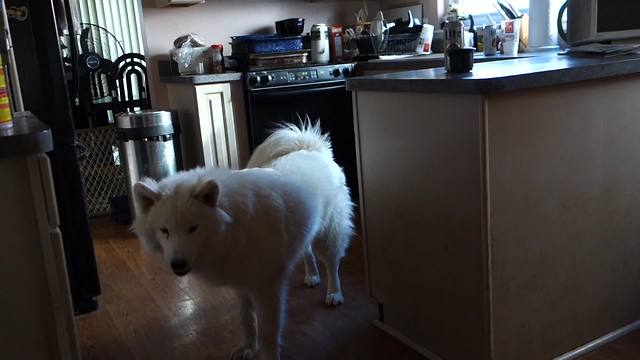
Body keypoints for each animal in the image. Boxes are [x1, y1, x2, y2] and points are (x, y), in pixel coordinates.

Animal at [132, 122, 352, 358]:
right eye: (164, 231)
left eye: (193, 228)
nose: (177, 264)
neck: (232, 226)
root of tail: (311, 148)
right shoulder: (241, 282)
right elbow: (246, 320)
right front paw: (247, 348)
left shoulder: (267, 288)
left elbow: (267, 334)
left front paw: (267, 355)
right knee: (308, 251)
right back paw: (311, 275)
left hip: (329, 232)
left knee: (332, 263)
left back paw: (334, 293)